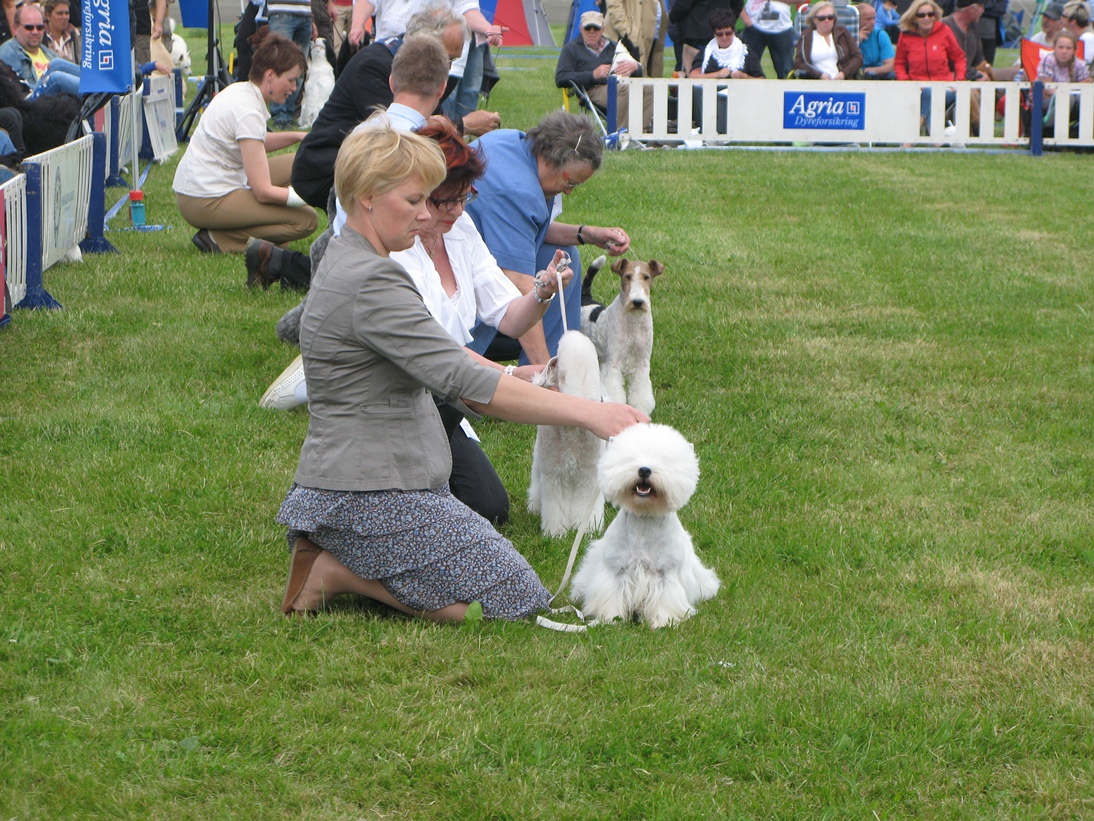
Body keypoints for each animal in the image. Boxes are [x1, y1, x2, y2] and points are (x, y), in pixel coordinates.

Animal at [527, 330, 608, 536]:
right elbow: (555, 507)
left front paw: (587, 531)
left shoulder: (589, 475)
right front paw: (555, 534)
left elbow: (586, 508)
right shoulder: (555, 474)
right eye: (563, 376)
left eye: (592, 371)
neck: (573, 433)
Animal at [568, 424, 722, 630]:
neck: (644, 518)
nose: (644, 470)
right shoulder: (615, 572)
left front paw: (662, 622)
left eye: (663, 461)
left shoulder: (666, 575)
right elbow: (611, 597)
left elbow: (665, 600)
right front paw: (609, 620)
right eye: (631, 458)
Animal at [582, 256, 665, 418]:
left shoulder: (642, 363)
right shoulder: (614, 363)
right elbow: (615, 393)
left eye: (647, 277)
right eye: (627, 276)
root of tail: (585, 298)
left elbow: (641, 394)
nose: (637, 302)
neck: (634, 320)